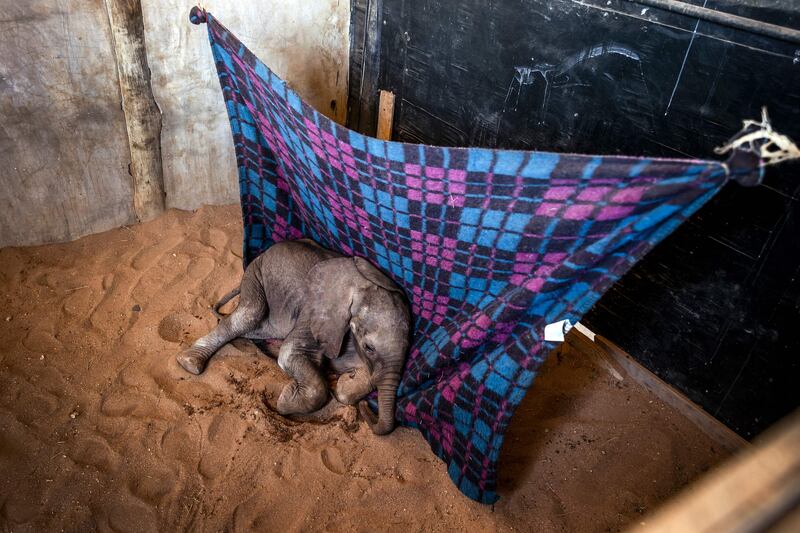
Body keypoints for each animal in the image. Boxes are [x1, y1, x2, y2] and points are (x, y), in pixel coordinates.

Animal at [176, 239, 412, 434]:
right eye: (369, 347)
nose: (366, 407)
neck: (361, 287)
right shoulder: (312, 314)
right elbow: (289, 354)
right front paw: (285, 397)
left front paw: (345, 384)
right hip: (256, 273)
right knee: (249, 315)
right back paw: (190, 363)